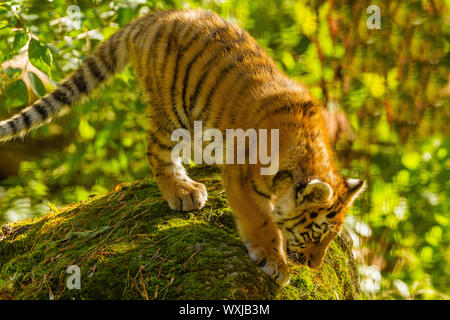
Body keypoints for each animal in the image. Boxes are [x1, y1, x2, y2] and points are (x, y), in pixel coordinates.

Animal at [0, 9, 366, 284]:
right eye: (315, 233)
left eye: (331, 237)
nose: (314, 266)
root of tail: (155, 16)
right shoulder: (241, 175)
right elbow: (261, 222)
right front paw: (274, 262)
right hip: (173, 111)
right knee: (157, 151)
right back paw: (183, 191)